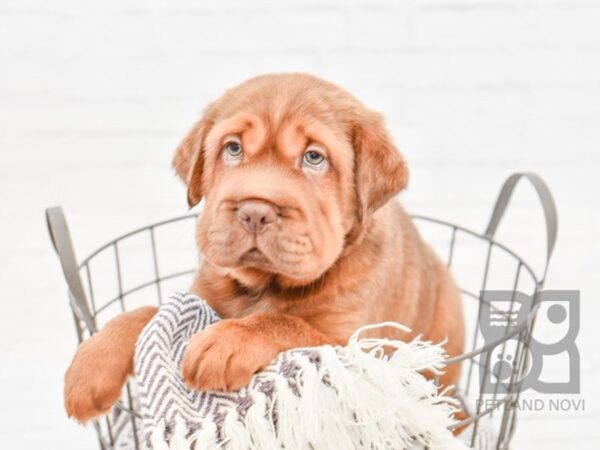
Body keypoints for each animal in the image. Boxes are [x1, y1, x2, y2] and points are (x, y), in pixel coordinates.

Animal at [63, 73, 464, 422]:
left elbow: (288, 325)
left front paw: (228, 341)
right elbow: (148, 311)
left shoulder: (351, 345)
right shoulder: (199, 299)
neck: (264, 284)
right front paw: (91, 365)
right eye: (233, 148)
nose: (255, 211)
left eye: (314, 157)